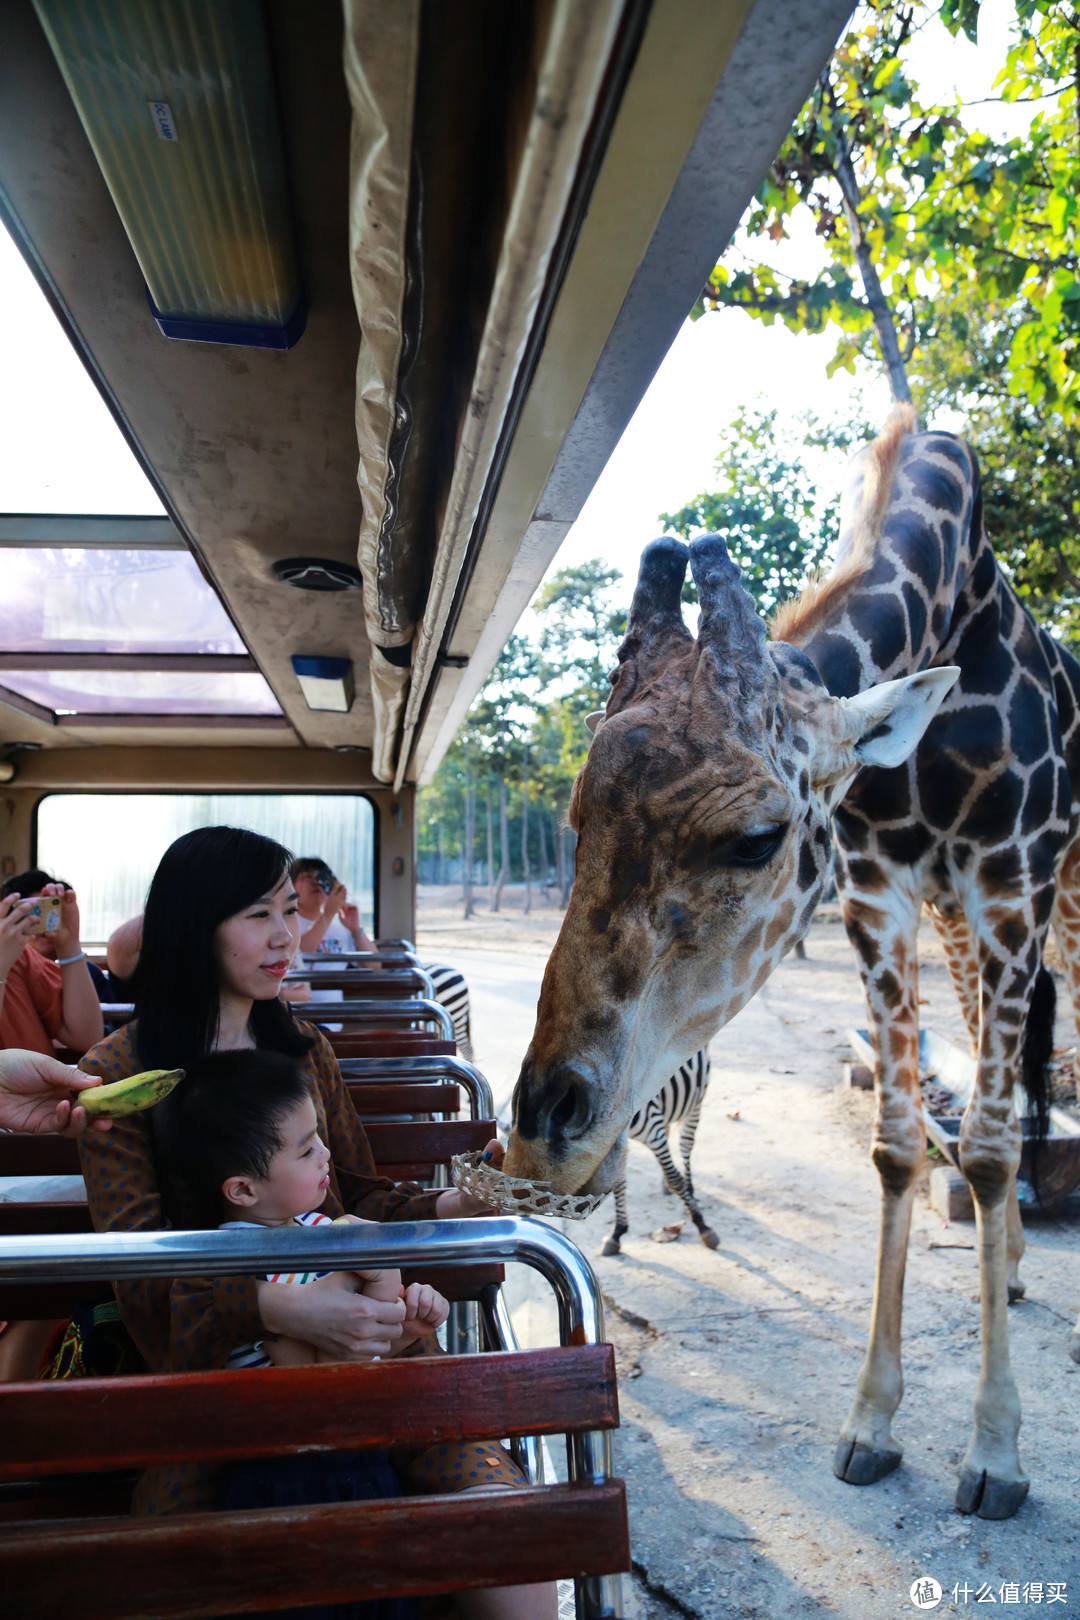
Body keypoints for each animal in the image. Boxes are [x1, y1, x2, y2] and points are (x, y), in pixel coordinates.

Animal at [599, 1043, 718, 1257]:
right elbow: (618, 1183)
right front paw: (617, 1232)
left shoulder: (653, 1128)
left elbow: (675, 1179)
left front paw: (702, 1224)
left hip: (696, 1101)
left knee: (686, 1145)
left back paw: (690, 1189)